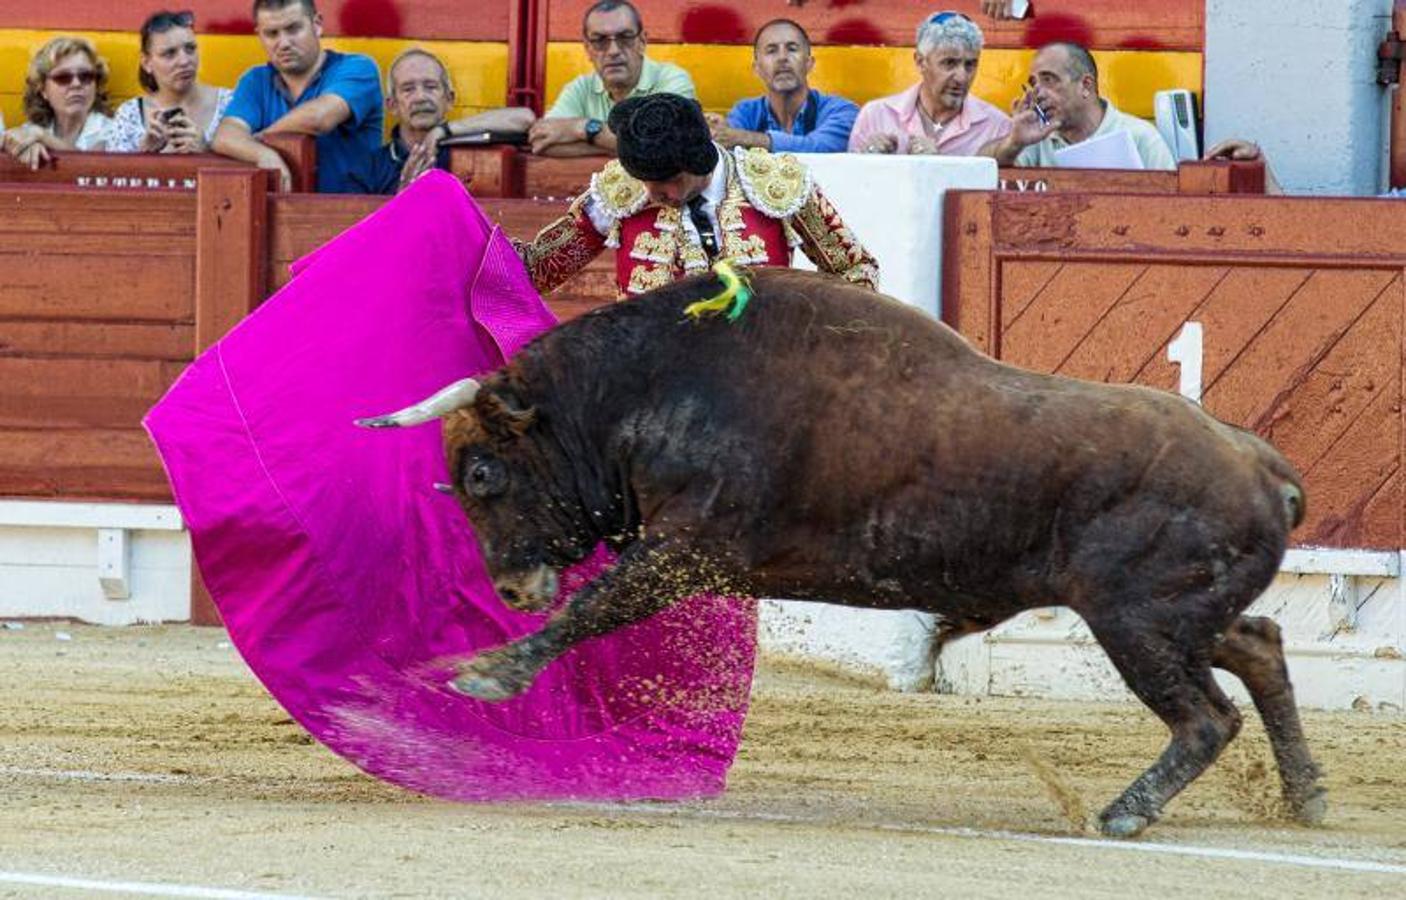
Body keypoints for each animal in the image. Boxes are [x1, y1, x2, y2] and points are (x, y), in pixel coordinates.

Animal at [357, 265, 1321, 838]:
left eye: (482, 472)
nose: (512, 588)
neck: (653, 388)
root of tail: (1263, 465)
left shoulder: (687, 548)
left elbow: (597, 607)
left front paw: (488, 674)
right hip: (1177, 616)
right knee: (1261, 648)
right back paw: (1304, 796)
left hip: (1135, 621)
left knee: (1207, 717)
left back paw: (1121, 816)